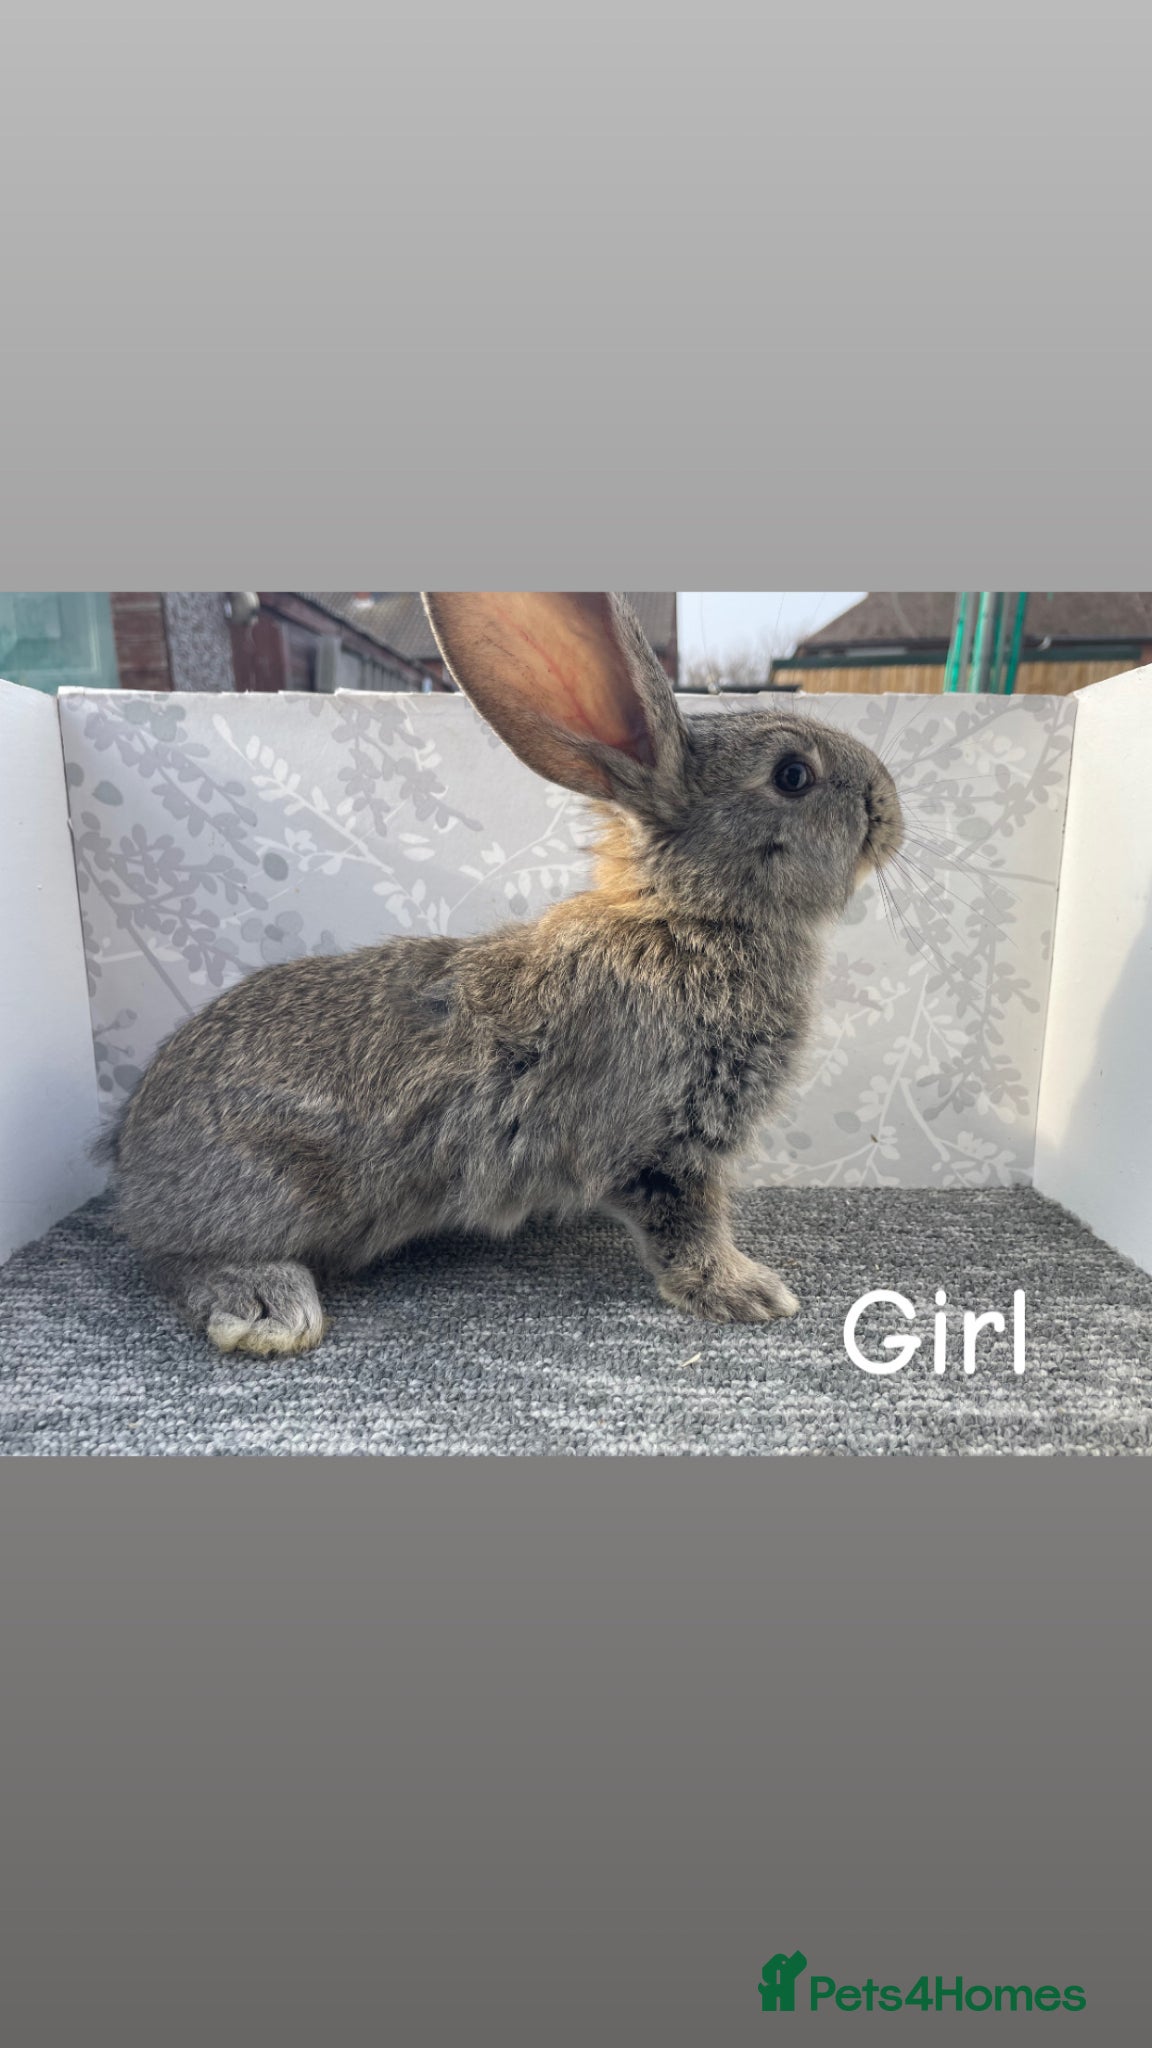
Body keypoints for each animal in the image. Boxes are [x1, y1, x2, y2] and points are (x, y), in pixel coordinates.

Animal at [101, 592, 904, 1355]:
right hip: (270, 1191)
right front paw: (749, 1292)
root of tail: (128, 1159)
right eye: (793, 776)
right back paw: (269, 1308)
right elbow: (686, 1226)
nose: (890, 806)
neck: (691, 915)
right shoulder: (660, 1143)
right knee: (176, 1261)